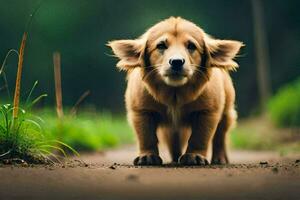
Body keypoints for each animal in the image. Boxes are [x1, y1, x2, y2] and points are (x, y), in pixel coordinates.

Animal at [108, 16, 244, 166]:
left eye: (191, 46)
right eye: (161, 45)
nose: (177, 62)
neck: (175, 94)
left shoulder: (207, 111)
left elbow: (200, 137)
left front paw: (194, 155)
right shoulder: (141, 111)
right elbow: (146, 136)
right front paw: (147, 156)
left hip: (227, 112)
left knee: (220, 136)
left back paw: (219, 159)